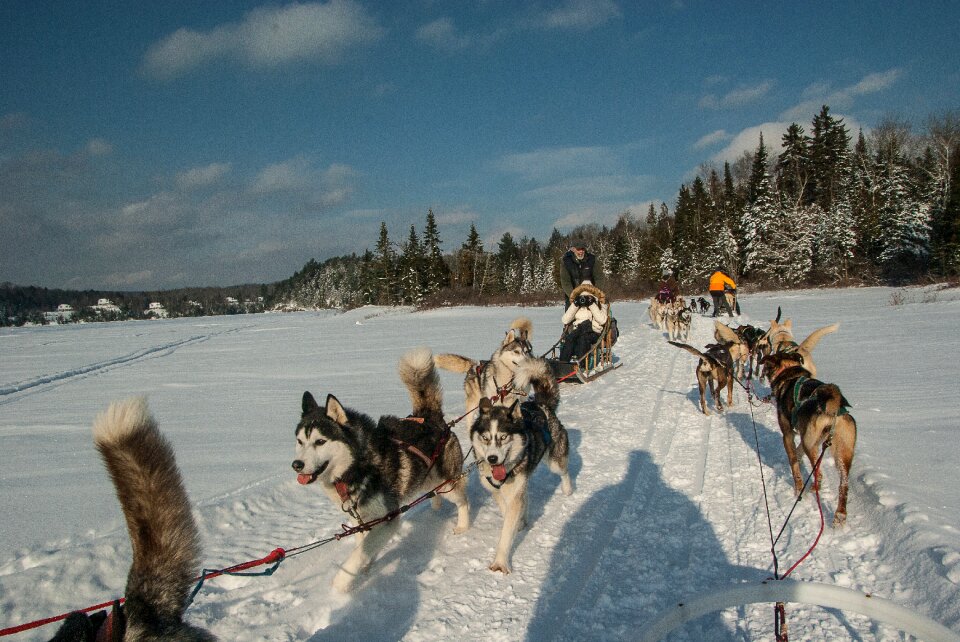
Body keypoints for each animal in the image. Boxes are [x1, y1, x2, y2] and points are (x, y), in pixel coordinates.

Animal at [760, 350, 860, 524]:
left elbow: (794, 461)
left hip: (811, 444)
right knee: (844, 483)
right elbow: (798, 452)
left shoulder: (788, 434)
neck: (789, 371)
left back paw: (811, 489)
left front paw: (798, 488)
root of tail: (833, 410)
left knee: (818, 474)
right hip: (843, 452)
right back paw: (840, 515)